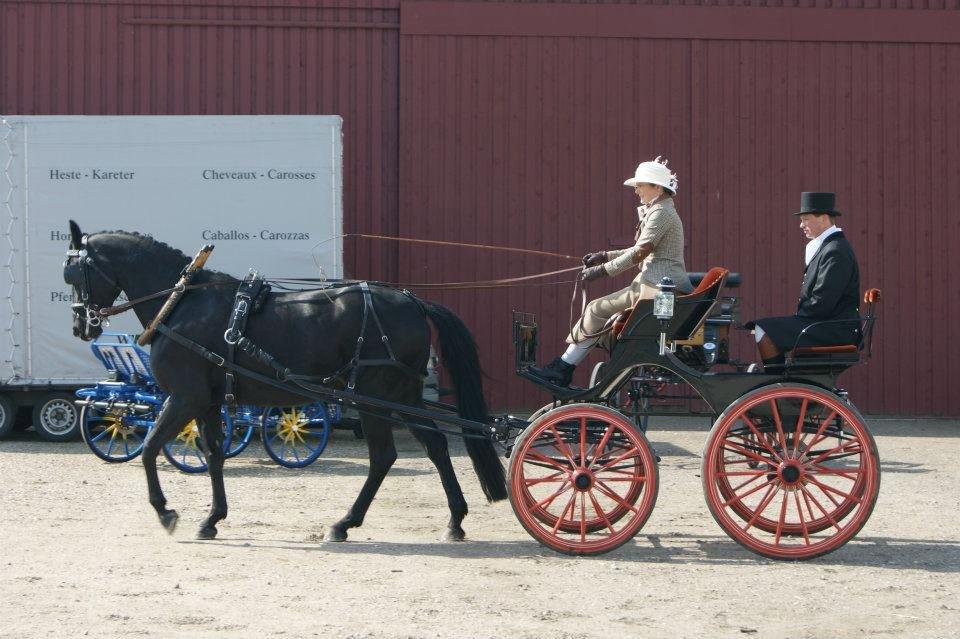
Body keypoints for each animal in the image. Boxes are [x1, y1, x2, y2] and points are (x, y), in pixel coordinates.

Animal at [63, 220, 506, 540]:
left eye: (73, 272)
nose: (81, 325)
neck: (183, 302)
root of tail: (412, 300)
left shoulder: (184, 397)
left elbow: (152, 447)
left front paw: (165, 511)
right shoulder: (207, 401)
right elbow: (213, 454)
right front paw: (213, 519)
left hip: (373, 396)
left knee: (384, 456)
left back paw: (344, 523)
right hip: (404, 395)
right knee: (435, 447)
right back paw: (454, 520)